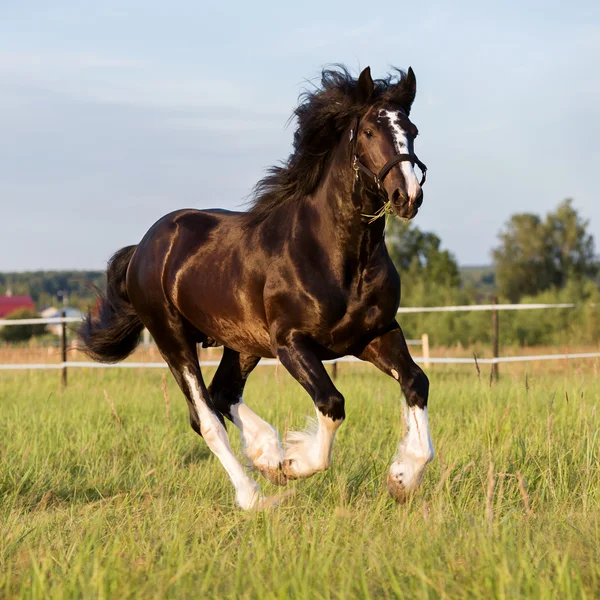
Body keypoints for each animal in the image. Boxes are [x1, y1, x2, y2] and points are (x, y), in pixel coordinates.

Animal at [81, 64, 436, 506]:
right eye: (370, 131)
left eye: (413, 130)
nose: (408, 196)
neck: (337, 256)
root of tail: (143, 248)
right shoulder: (290, 343)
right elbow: (331, 402)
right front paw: (295, 463)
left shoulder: (376, 334)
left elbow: (416, 382)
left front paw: (402, 476)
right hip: (172, 339)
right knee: (206, 417)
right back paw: (254, 495)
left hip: (242, 344)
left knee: (223, 394)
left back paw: (266, 453)